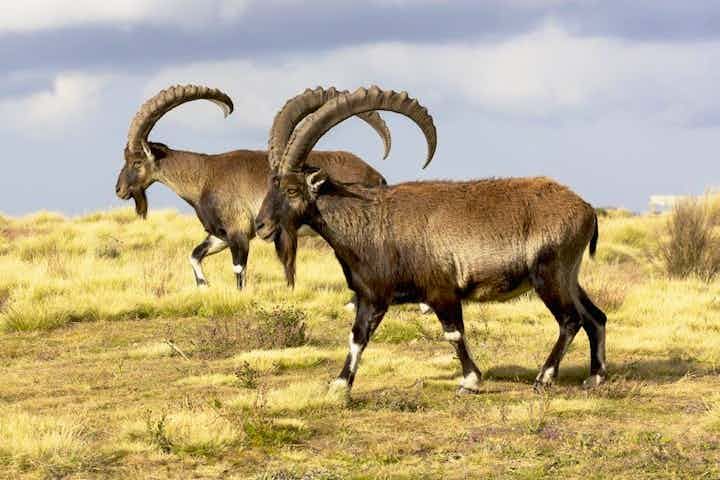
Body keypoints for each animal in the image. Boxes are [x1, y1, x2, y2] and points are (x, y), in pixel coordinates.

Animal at [115, 84, 389, 289]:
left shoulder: (238, 232)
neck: (204, 177)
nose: (119, 190)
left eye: (136, 161)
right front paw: (203, 284)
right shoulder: (220, 234)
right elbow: (194, 255)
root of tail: (377, 176)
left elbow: (239, 270)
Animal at [255, 86, 607, 394]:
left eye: (292, 190)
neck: (370, 223)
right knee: (595, 316)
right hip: (569, 275)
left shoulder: (441, 290)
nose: (261, 226)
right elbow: (358, 337)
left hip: (549, 273)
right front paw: (340, 384)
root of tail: (586, 208)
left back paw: (544, 377)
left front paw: (470, 381)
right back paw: (596, 376)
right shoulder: (372, 296)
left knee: (571, 320)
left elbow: (453, 333)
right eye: (271, 184)